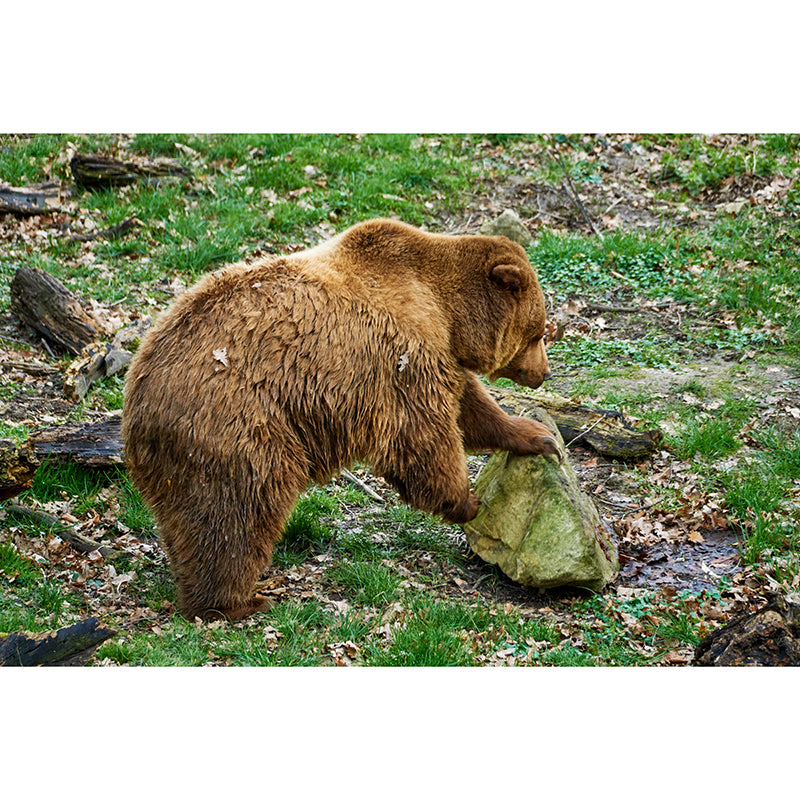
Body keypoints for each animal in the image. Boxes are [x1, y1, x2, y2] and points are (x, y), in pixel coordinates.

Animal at [122, 218, 560, 621]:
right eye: (539, 332)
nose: (543, 372)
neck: (446, 309)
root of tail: (137, 395)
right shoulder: (402, 358)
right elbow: (426, 432)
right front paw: (467, 501)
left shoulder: (441, 354)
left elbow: (471, 407)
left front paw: (538, 436)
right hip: (238, 425)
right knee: (240, 513)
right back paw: (238, 602)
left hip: (180, 459)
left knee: (192, 521)